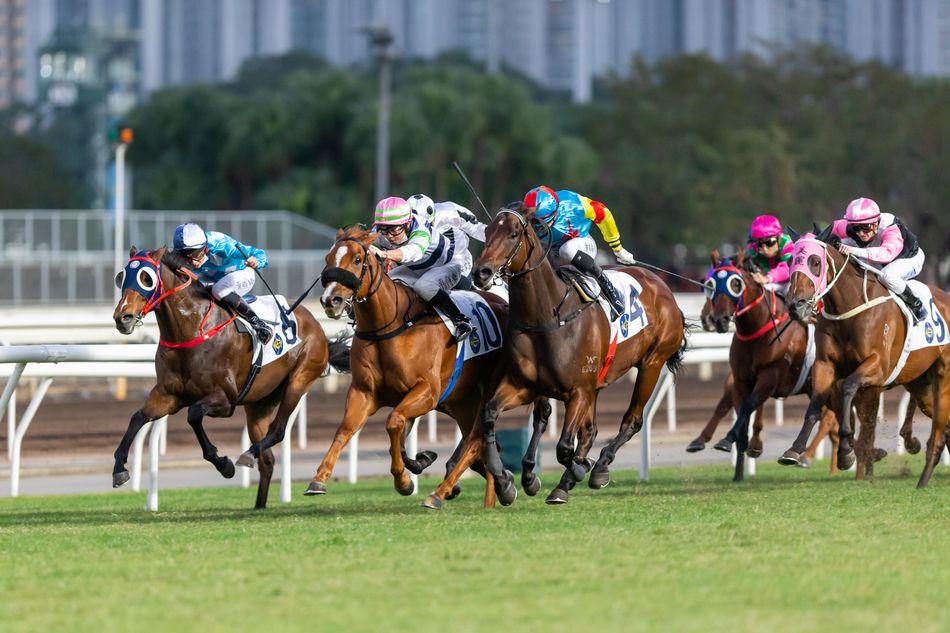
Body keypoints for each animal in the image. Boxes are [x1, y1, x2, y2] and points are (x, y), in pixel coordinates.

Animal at [112, 247, 350, 508]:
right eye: (121, 277)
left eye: (146, 278)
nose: (122, 317)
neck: (192, 330)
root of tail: (318, 327)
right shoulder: (168, 395)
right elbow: (138, 417)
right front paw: (119, 469)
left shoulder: (226, 400)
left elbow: (194, 415)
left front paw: (223, 463)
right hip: (259, 404)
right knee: (267, 459)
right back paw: (258, 505)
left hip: (299, 380)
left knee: (278, 431)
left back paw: (246, 456)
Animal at [304, 225, 556, 506]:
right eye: (328, 259)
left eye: (358, 260)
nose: (331, 300)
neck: (389, 326)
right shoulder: (363, 392)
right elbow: (345, 430)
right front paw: (319, 479)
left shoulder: (427, 391)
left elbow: (394, 422)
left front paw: (404, 481)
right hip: (463, 401)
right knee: (482, 442)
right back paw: (498, 490)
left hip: (489, 392)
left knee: (478, 440)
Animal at [472, 202, 688, 504]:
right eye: (488, 231)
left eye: (514, 233)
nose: (481, 272)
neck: (549, 316)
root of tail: (663, 287)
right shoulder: (525, 385)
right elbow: (491, 414)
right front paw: (506, 482)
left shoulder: (578, 391)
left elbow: (564, 447)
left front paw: (577, 471)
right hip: (598, 382)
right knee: (590, 429)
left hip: (652, 364)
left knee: (631, 421)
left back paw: (599, 469)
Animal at [692, 251, 840, 474]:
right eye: (708, 284)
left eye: (735, 284)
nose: (716, 319)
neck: (757, 329)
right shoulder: (741, 379)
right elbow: (739, 407)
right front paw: (739, 445)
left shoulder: (770, 375)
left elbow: (749, 406)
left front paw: (733, 440)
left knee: (829, 419)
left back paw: (806, 456)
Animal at [780, 227, 944, 484]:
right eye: (791, 263)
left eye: (815, 262)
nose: (796, 305)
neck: (848, 309)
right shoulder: (824, 365)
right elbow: (817, 403)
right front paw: (795, 450)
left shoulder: (877, 367)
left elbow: (847, 388)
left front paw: (847, 451)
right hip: (922, 382)